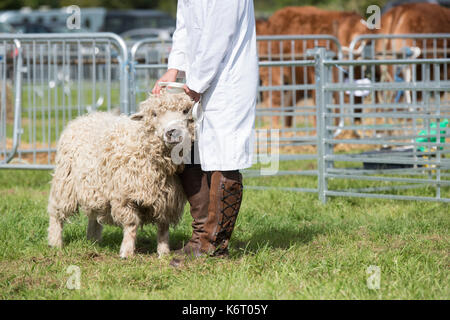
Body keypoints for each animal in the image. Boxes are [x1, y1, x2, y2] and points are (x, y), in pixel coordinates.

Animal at [48, 92, 195, 258]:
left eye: (185, 111)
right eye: (154, 114)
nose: (173, 133)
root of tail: (85, 117)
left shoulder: (167, 199)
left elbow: (163, 228)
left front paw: (164, 253)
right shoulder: (125, 196)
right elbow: (131, 224)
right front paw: (127, 252)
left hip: (94, 187)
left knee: (94, 214)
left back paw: (93, 241)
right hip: (65, 183)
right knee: (56, 213)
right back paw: (55, 242)